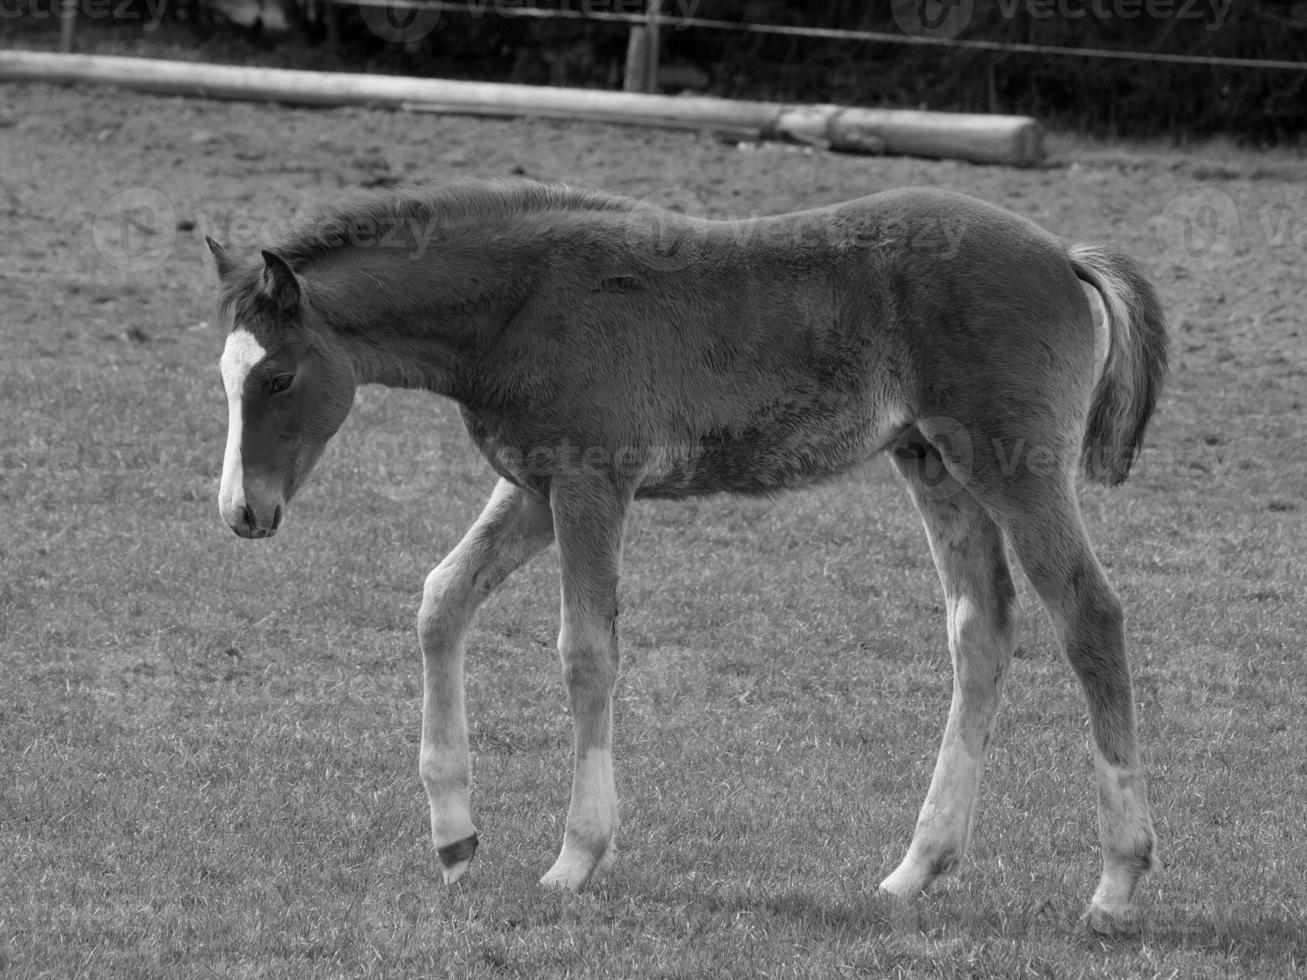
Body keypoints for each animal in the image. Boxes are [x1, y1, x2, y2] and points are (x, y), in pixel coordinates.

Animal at [209, 179, 1171, 935]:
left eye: (278, 378)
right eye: (223, 378)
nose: (243, 512)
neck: (521, 304)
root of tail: (1060, 251)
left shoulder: (592, 482)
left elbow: (585, 653)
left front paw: (575, 858)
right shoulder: (533, 486)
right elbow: (441, 599)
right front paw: (454, 837)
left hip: (1012, 462)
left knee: (1088, 612)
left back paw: (1115, 886)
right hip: (930, 460)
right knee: (981, 630)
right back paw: (915, 869)